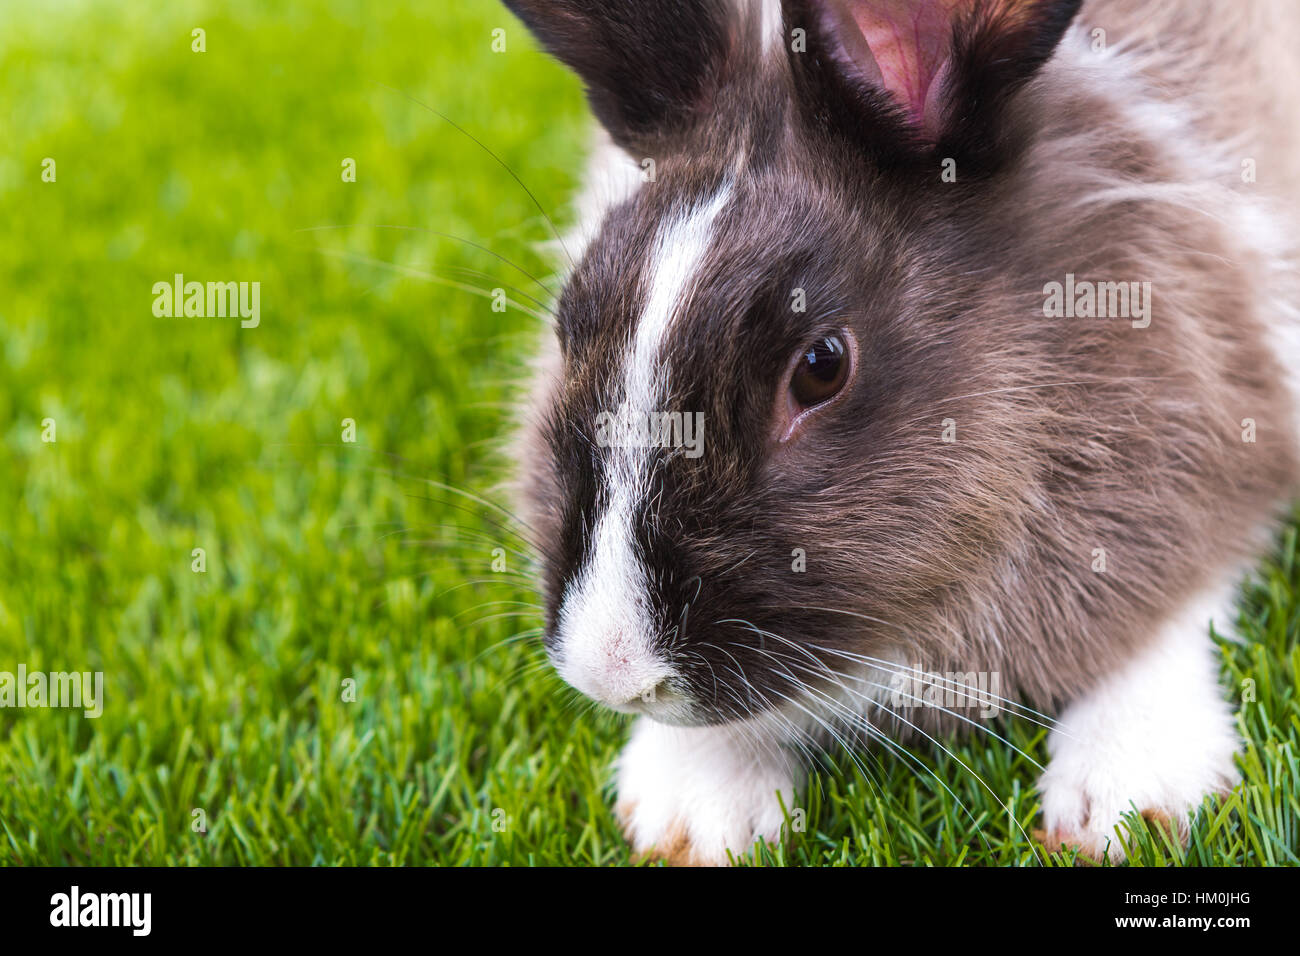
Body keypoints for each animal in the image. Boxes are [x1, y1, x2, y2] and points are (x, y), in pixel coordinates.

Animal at [502, 0, 1300, 864]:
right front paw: (696, 810)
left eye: (821, 366)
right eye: (569, 324)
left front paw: (1122, 801)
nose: (614, 672)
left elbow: (1170, 609)